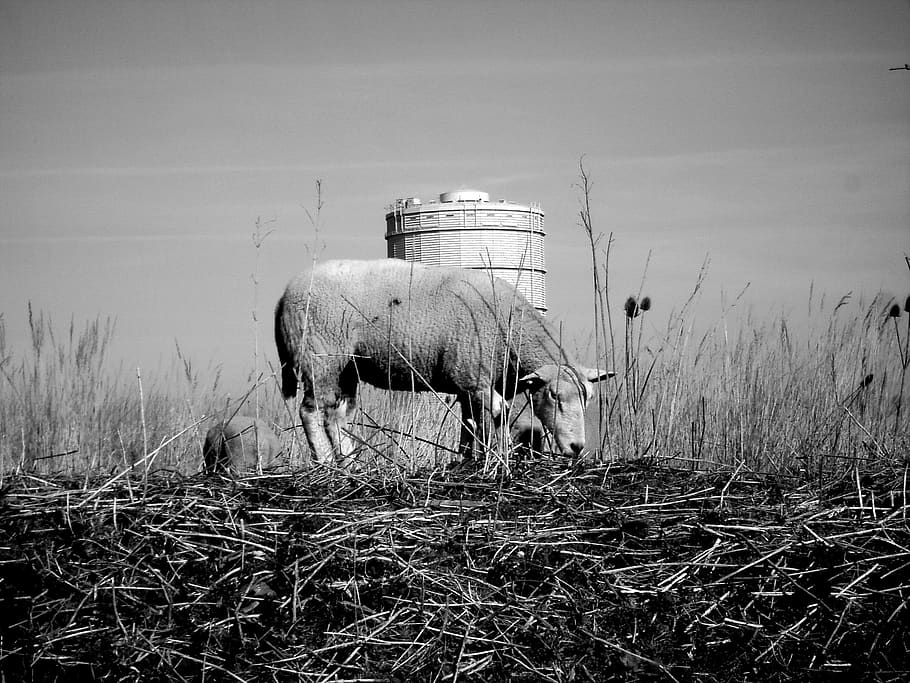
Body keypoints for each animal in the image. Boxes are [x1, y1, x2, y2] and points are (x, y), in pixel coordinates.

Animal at [274, 258, 611, 466]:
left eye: (589, 398)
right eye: (554, 396)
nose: (577, 448)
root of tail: (283, 296)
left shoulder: (468, 385)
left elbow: (472, 425)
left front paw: (468, 459)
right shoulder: (474, 379)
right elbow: (491, 419)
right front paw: (490, 459)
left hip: (347, 368)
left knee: (337, 416)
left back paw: (350, 462)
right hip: (320, 357)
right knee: (310, 411)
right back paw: (325, 462)